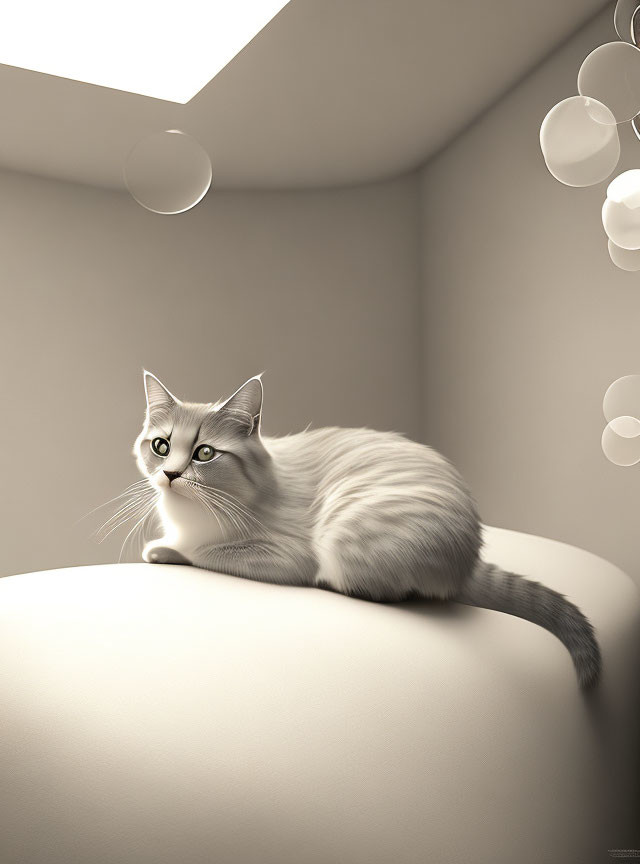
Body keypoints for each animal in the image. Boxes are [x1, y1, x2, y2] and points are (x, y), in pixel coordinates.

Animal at [134, 370, 600, 688]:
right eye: (161, 446)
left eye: (204, 453)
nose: (170, 475)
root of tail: (467, 562)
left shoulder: (283, 554)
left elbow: (203, 552)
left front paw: (164, 550)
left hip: (345, 536)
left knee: (386, 590)